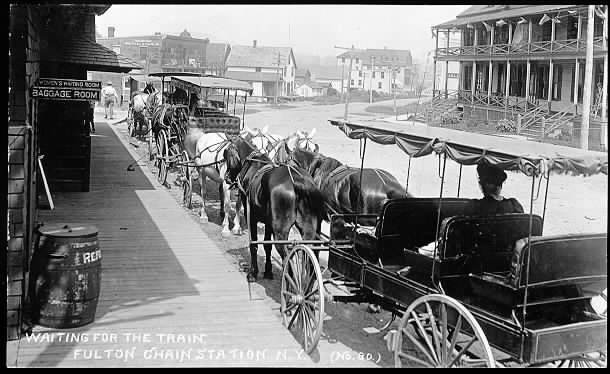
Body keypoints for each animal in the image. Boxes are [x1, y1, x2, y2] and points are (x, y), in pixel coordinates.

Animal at [223, 136, 326, 280]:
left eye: (226, 154)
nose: (226, 177)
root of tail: (297, 180)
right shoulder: (268, 222)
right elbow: (267, 245)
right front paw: (268, 271)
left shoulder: (251, 217)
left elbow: (254, 244)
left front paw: (253, 272)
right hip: (309, 230)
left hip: (280, 231)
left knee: (287, 256)